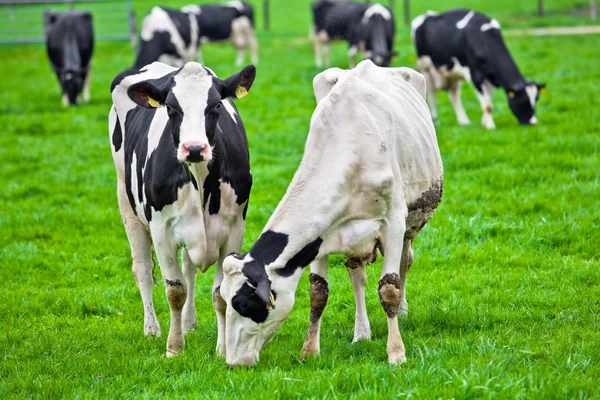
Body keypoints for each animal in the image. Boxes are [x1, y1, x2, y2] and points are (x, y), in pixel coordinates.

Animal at [109, 61, 254, 356]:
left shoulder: (234, 229)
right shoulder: (162, 231)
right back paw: (152, 329)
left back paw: (188, 323)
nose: (195, 148)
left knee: (188, 269)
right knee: (142, 269)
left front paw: (223, 349)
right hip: (126, 203)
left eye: (216, 106)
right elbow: (175, 291)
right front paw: (174, 347)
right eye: (171, 108)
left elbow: (219, 293)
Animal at [412, 9, 544, 128]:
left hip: (453, 72)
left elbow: (488, 100)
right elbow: (488, 105)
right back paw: (435, 120)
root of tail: (427, 15)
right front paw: (490, 126)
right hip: (426, 68)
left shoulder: (492, 78)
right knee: (431, 95)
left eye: (536, 99)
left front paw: (484, 122)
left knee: (454, 95)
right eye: (523, 101)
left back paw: (464, 121)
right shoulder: (475, 76)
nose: (533, 123)